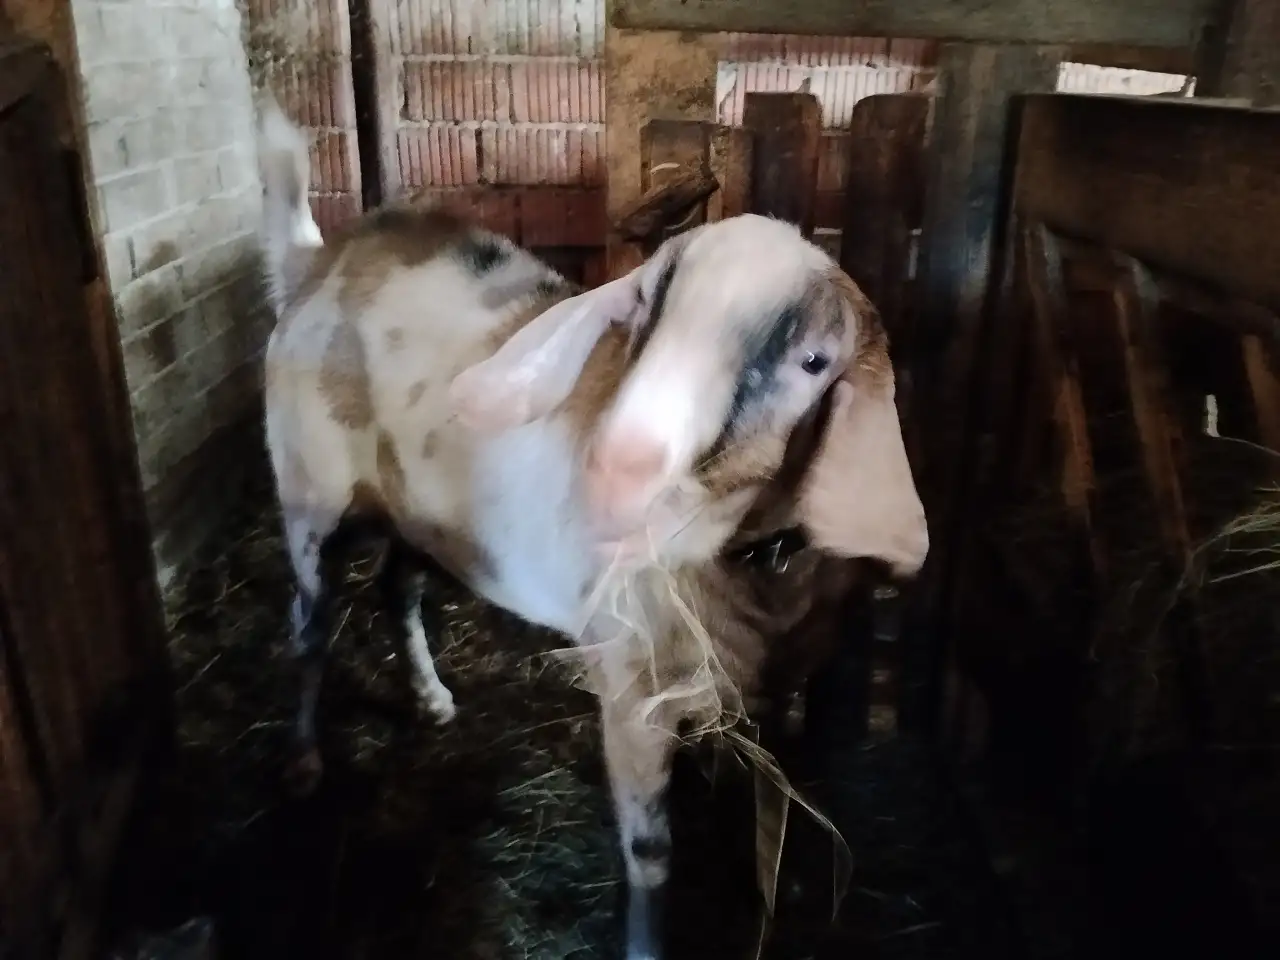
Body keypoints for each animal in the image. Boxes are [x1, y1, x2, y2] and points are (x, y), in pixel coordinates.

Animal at [256, 98, 928, 960]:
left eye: (815, 360)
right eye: (646, 309)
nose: (617, 467)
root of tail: (318, 262)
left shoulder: (771, 689)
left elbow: (754, 811)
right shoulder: (631, 685)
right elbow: (651, 852)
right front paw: (645, 942)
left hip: (419, 509)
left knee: (396, 588)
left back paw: (432, 698)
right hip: (309, 494)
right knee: (308, 626)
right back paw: (304, 761)